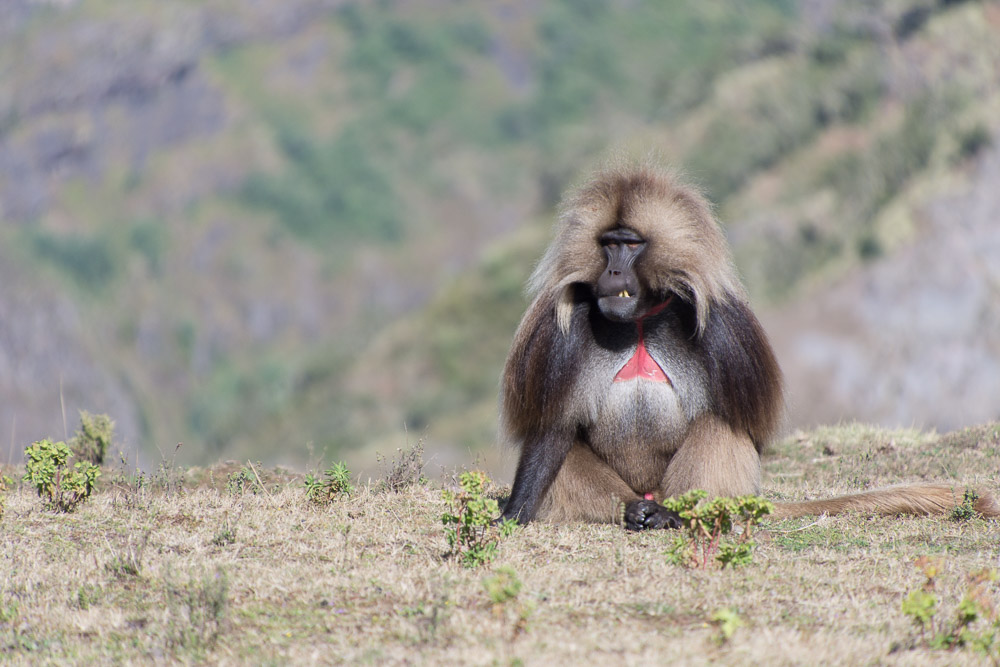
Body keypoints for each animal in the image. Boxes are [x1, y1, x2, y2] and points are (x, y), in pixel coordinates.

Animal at [498, 162, 999, 530]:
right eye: (606, 244)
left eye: (631, 244)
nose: (613, 273)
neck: (640, 318)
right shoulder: (560, 328)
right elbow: (554, 429)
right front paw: (513, 512)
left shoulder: (727, 326)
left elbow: (747, 430)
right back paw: (635, 511)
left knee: (718, 427)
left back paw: (670, 514)